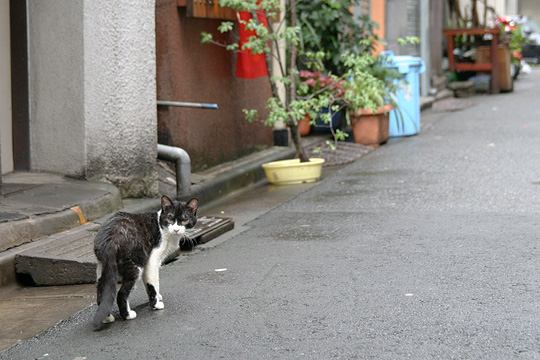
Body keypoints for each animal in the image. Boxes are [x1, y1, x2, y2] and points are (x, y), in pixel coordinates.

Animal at [92, 195, 198, 330]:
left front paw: (156, 297)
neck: (163, 229)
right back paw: (127, 315)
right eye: (170, 218)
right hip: (135, 264)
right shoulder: (152, 260)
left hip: (103, 267)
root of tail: (110, 239)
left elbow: (149, 284)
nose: (176, 229)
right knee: (121, 293)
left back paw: (107, 318)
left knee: (101, 289)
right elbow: (153, 283)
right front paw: (156, 304)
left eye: (184, 219)